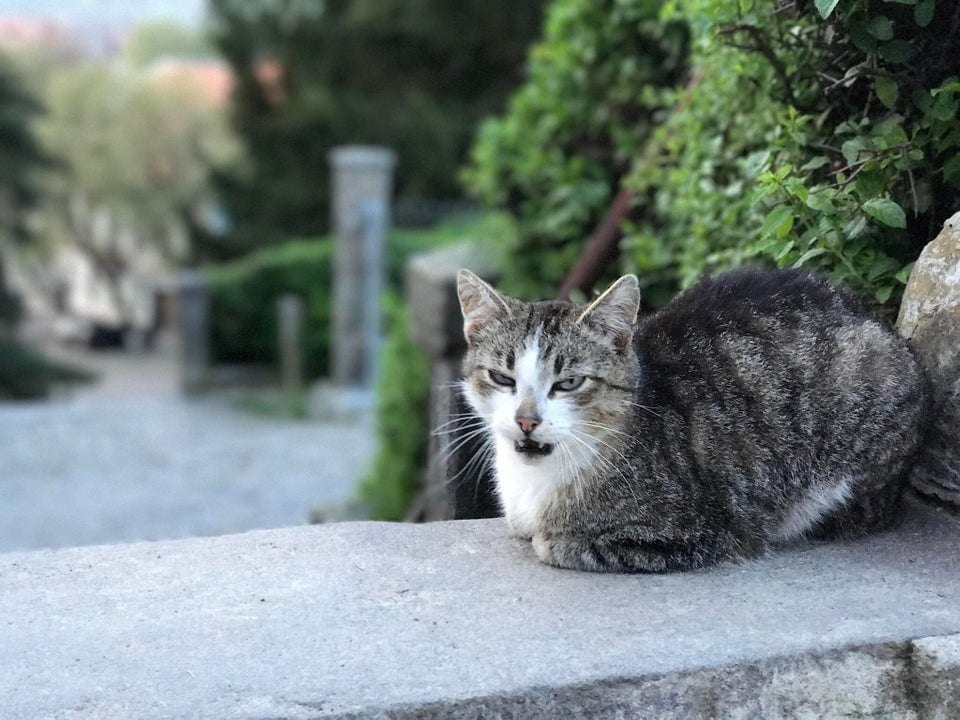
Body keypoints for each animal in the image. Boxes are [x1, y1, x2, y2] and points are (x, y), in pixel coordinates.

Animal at [456, 266, 928, 572]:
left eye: (569, 382)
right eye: (502, 378)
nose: (526, 420)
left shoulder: (698, 533)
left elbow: (555, 544)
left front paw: (552, 539)